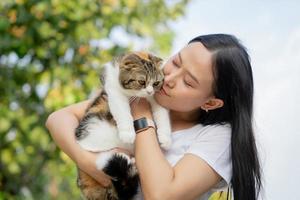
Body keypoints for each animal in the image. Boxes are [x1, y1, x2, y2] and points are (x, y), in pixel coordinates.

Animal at [75, 52, 172, 200]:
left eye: (156, 83)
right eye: (142, 82)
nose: (149, 92)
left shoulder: (156, 99)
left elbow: (162, 115)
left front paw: (166, 139)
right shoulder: (113, 90)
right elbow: (122, 110)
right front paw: (128, 133)